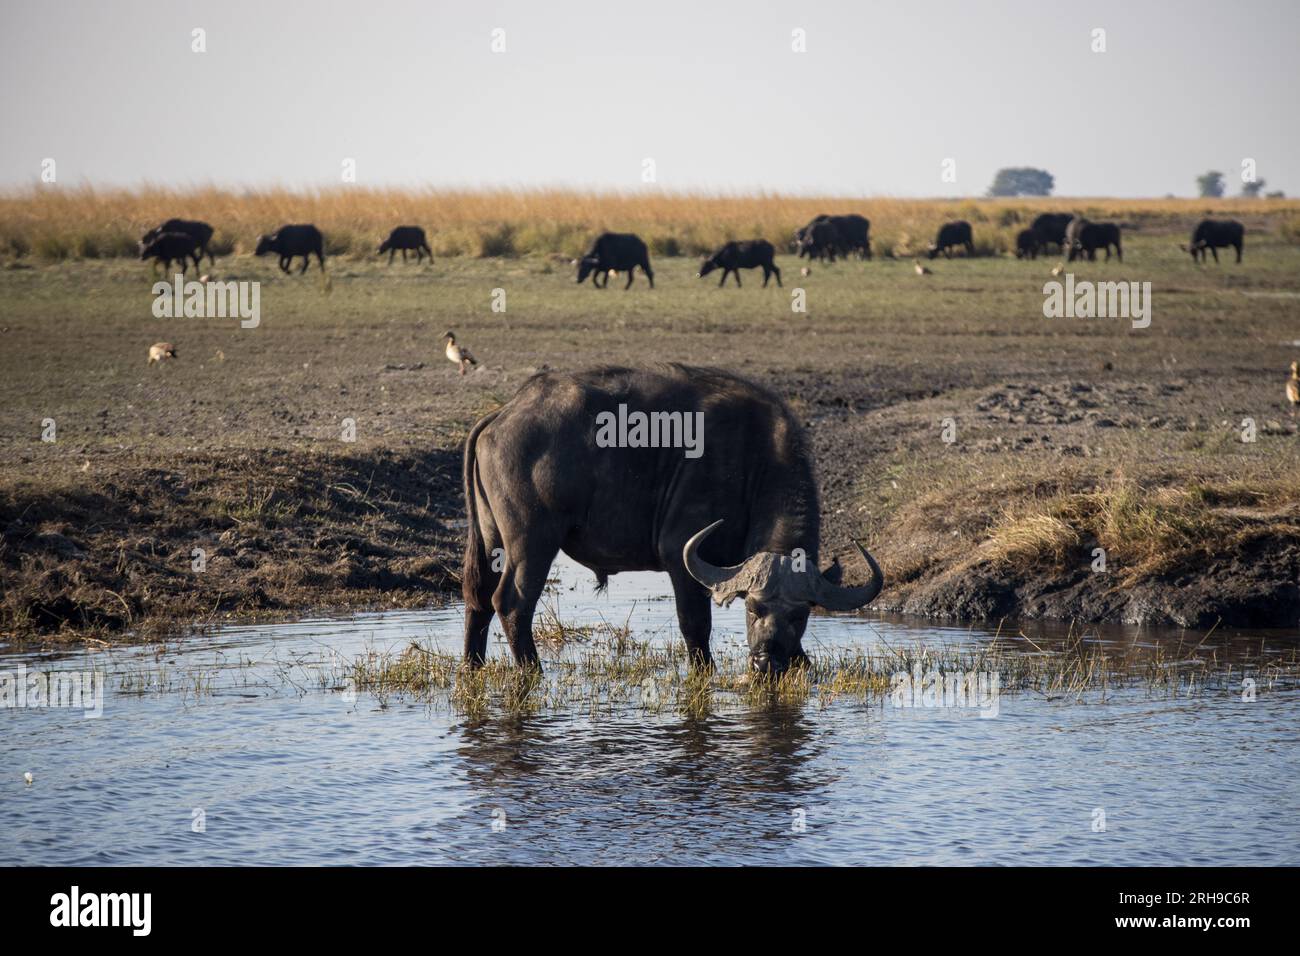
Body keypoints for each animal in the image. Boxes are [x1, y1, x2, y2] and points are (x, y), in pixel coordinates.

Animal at [460, 364, 883, 671]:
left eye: (800, 615)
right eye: (753, 609)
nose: (767, 661)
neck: (755, 464)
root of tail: (504, 413)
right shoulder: (682, 559)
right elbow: (696, 627)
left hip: (491, 539)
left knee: (478, 597)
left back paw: (472, 666)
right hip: (533, 542)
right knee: (513, 602)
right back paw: (532, 671)